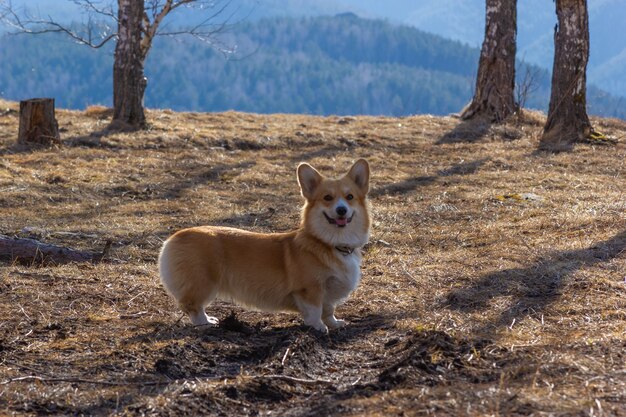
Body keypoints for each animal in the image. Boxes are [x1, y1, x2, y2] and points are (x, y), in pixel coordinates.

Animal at [157, 158, 370, 332]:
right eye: (327, 198)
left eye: (350, 197)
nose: (341, 210)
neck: (331, 243)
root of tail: (172, 239)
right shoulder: (310, 290)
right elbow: (315, 311)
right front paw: (318, 328)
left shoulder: (328, 293)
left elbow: (329, 310)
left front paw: (334, 324)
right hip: (203, 283)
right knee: (193, 307)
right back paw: (205, 323)